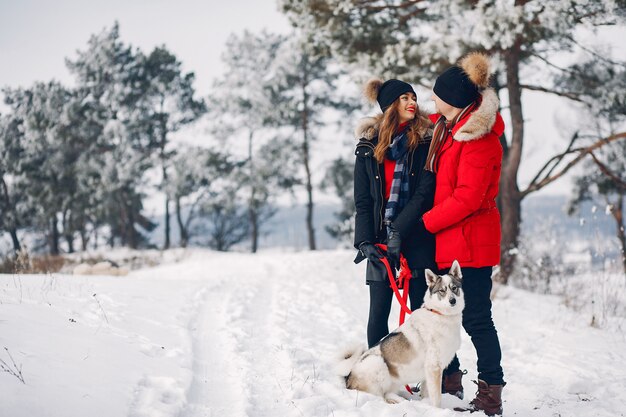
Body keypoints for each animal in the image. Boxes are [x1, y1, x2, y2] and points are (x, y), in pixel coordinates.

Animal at [336, 262, 464, 404]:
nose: (452, 301)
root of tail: (348, 376)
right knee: (380, 397)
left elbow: (427, 394)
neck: (439, 314)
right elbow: (436, 399)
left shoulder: (428, 373)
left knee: (388, 394)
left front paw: (425, 403)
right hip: (377, 363)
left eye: (454, 288)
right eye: (442, 290)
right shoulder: (434, 367)